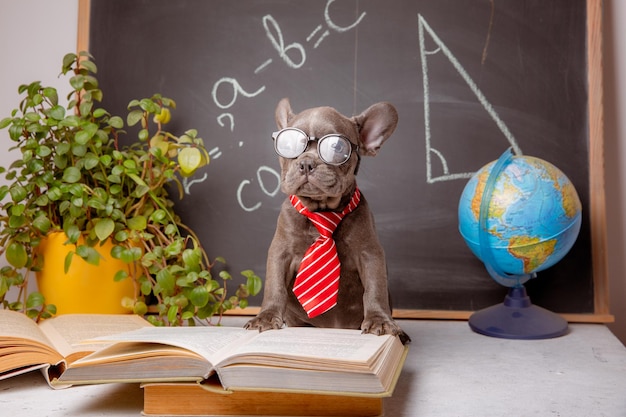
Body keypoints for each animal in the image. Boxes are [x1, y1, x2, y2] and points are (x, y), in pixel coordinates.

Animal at [244, 98, 410, 344]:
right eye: (288, 145)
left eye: (338, 148)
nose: (306, 163)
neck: (321, 211)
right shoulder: (280, 253)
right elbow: (274, 286)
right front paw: (265, 316)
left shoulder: (370, 254)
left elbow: (375, 289)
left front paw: (379, 320)